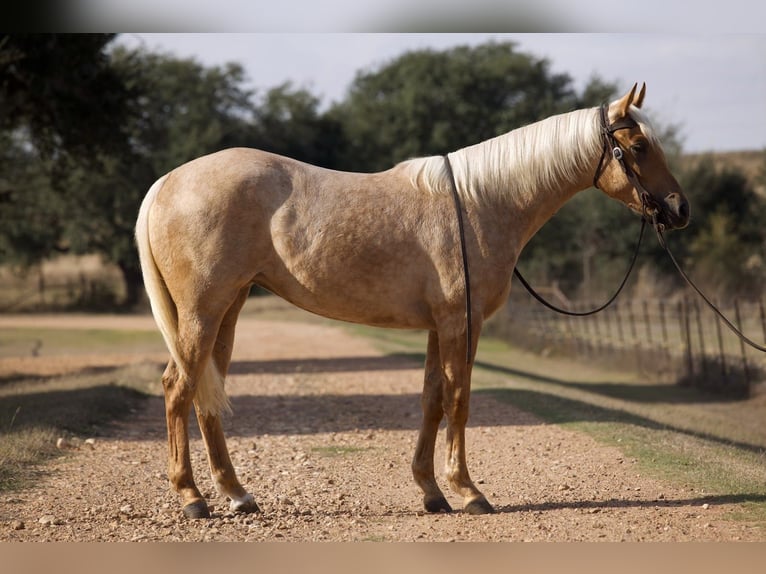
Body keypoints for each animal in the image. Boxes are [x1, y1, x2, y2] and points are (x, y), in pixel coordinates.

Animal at [135, 83, 690, 519]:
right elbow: (459, 400)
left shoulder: (438, 326)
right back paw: (192, 498)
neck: (482, 202)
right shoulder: (461, 323)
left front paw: (432, 492)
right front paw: (468, 492)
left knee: (206, 396)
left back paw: (237, 494)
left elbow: (431, 400)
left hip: (228, 309)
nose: (679, 209)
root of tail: (166, 182)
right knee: (178, 388)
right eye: (638, 145)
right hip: (203, 311)